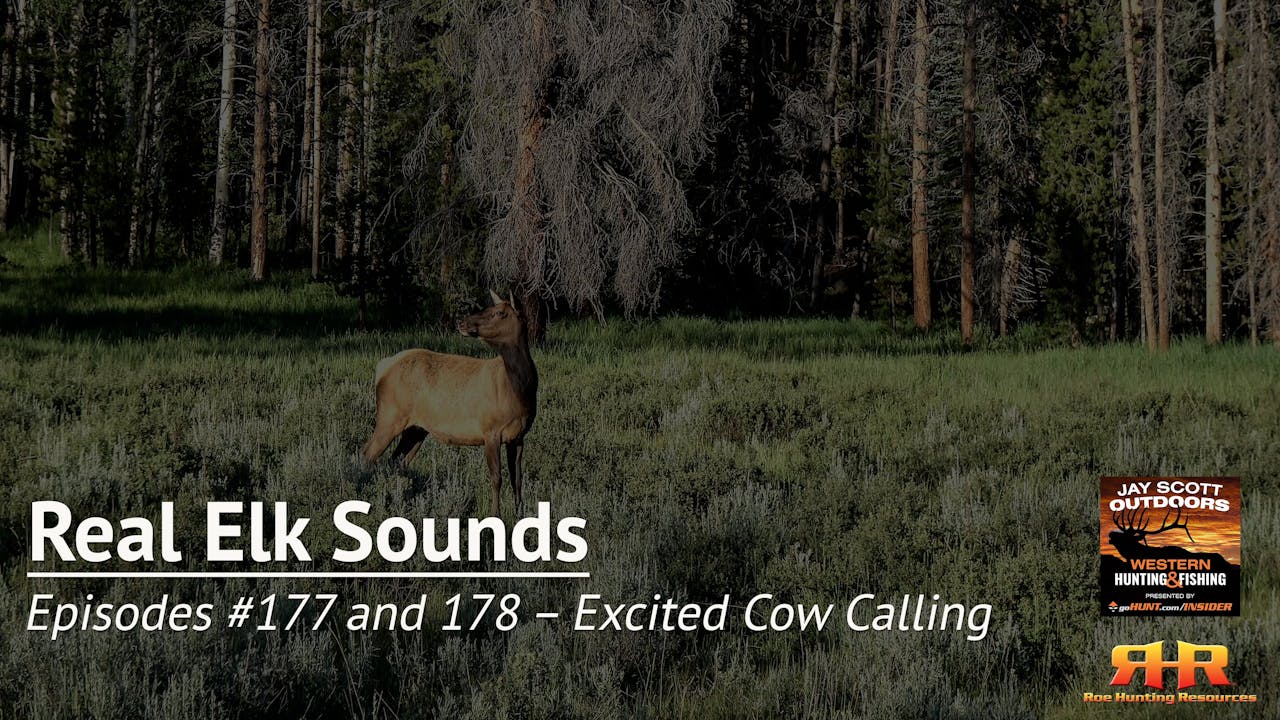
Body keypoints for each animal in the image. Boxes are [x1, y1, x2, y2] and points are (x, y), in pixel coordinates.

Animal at [361, 290, 538, 515]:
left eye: (499, 312)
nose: (462, 322)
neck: (521, 391)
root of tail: (381, 369)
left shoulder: (520, 436)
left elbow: (518, 479)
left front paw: (519, 513)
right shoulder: (490, 430)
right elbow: (497, 478)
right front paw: (495, 515)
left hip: (415, 429)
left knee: (397, 461)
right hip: (389, 416)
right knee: (367, 454)